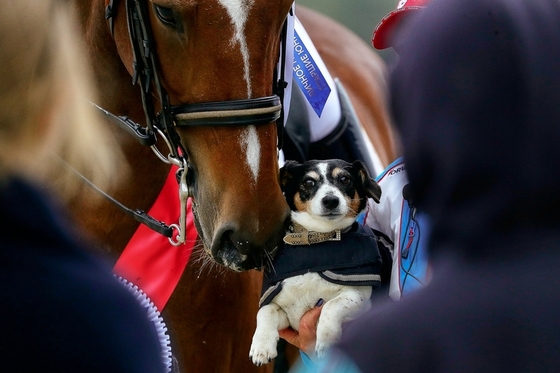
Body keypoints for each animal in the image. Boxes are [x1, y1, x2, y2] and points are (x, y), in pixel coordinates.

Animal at [250, 158, 384, 364]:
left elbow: (330, 306)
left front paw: (326, 341)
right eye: (308, 182)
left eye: (345, 179)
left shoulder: (358, 298)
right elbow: (264, 312)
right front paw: (261, 346)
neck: (317, 241)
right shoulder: (285, 313)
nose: (330, 200)